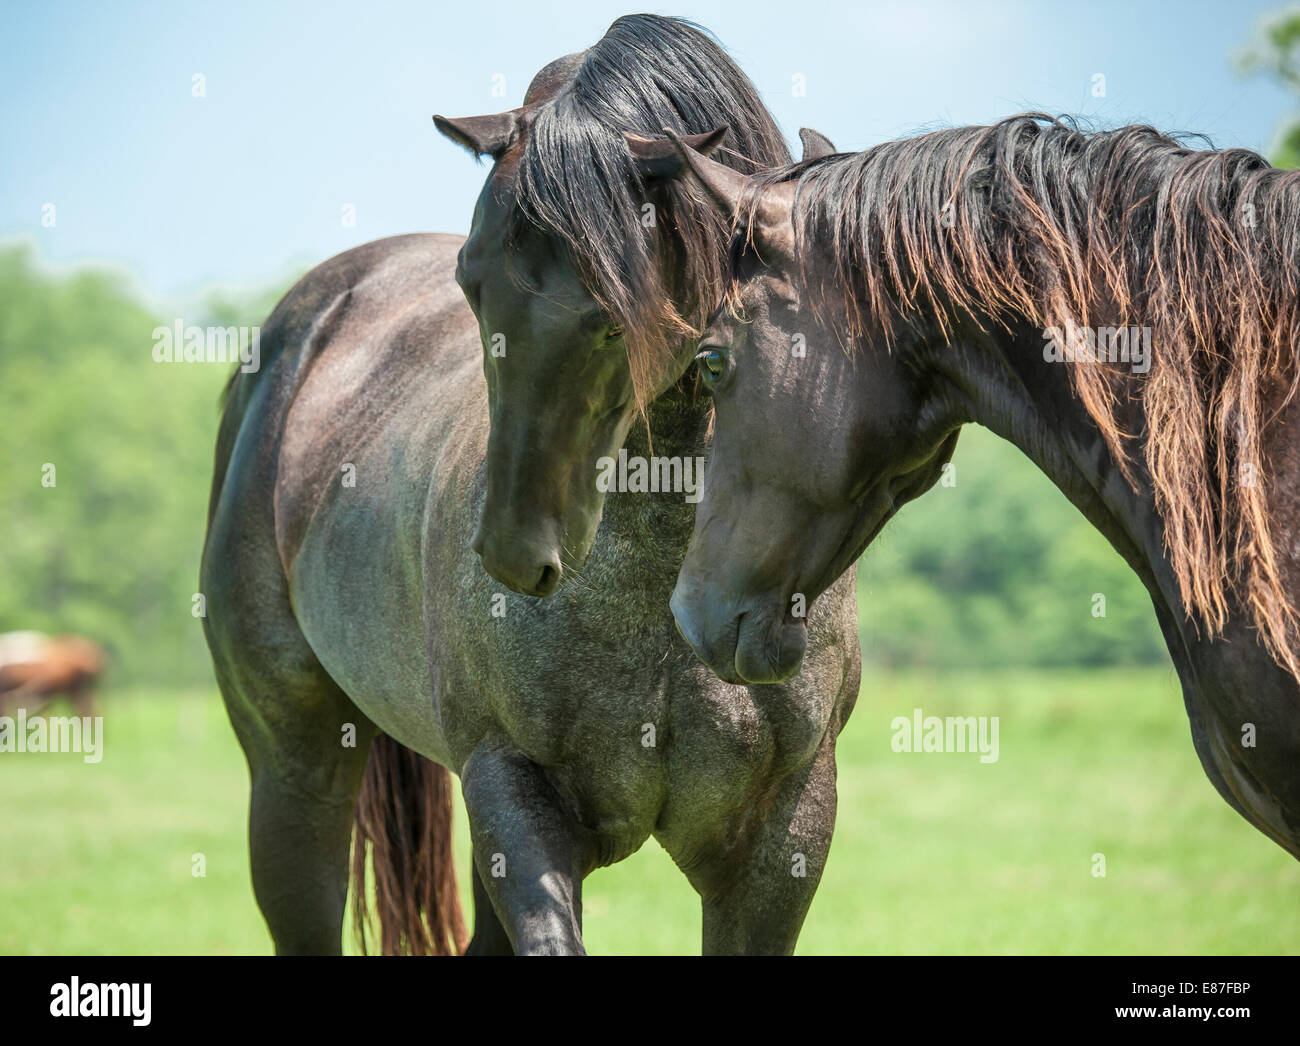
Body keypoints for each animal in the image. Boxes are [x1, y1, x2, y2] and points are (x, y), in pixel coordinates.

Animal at [202, 14, 860, 956]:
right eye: (471, 282)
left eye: (615, 306)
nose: (515, 551)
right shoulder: (512, 788)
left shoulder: (783, 834)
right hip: (295, 773)